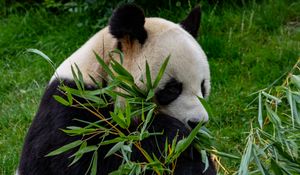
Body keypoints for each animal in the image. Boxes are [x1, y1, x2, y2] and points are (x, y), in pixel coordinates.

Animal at [17, 4, 216, 175]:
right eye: (172, 89)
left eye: (202, 87)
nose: (198, 123)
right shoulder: (70, 105)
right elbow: (85, 160)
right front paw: (172, 132)